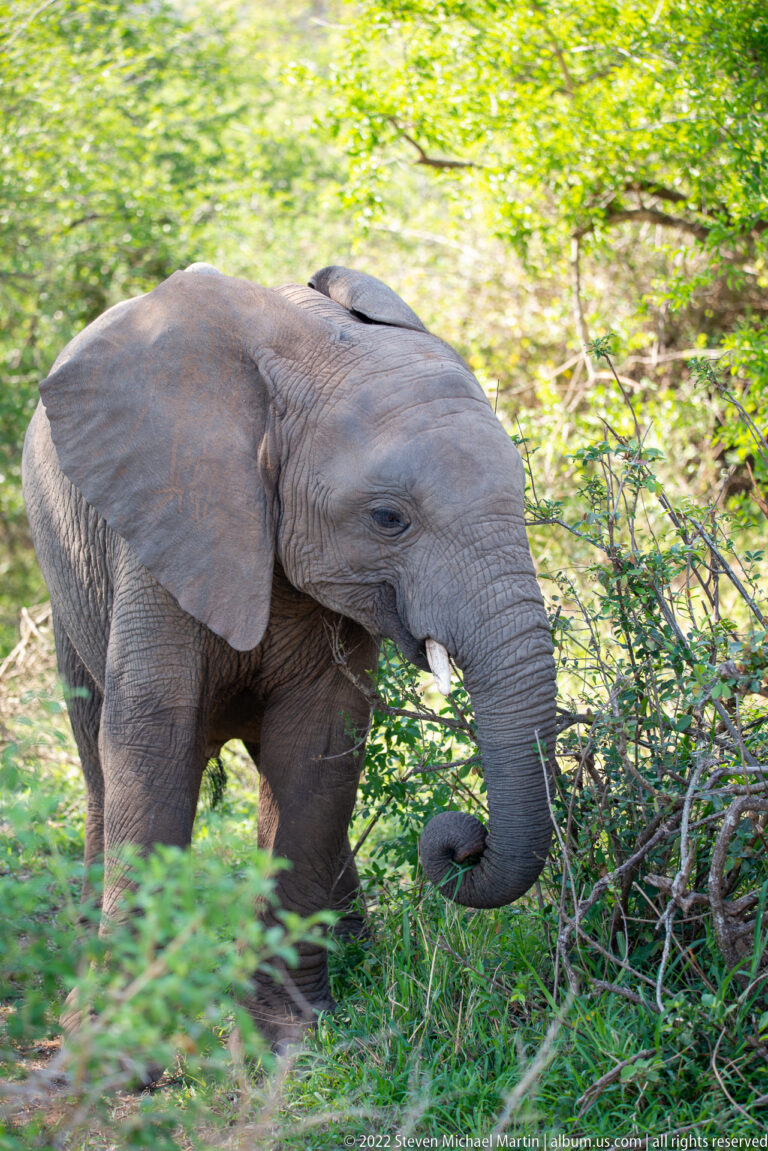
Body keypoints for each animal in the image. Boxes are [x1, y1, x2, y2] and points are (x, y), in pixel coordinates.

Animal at [22, 262, 557, 1048]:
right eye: (388, 519)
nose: (461, 841)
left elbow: (319, 749)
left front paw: (293, 1035)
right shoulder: (165, 523)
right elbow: (151, 739)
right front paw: (117, 1040)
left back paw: (361, 957)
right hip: (66, 579)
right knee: (95, 758)